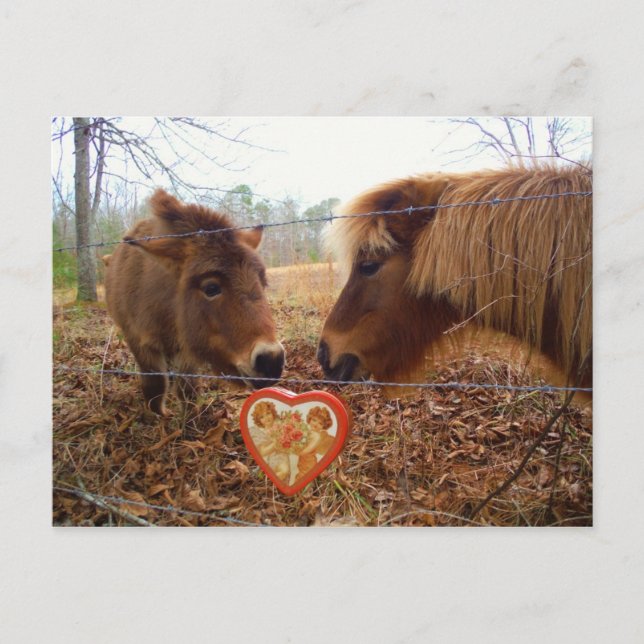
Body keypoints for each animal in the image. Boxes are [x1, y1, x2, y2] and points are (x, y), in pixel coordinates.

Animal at [105, 189, 285, 416]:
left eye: (263, 283)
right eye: (211, 288)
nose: (271, 361)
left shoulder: (186, 348)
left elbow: (187, 387)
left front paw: (190, 416)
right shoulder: (138, 340)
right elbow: (155, 384)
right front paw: (159, 416)